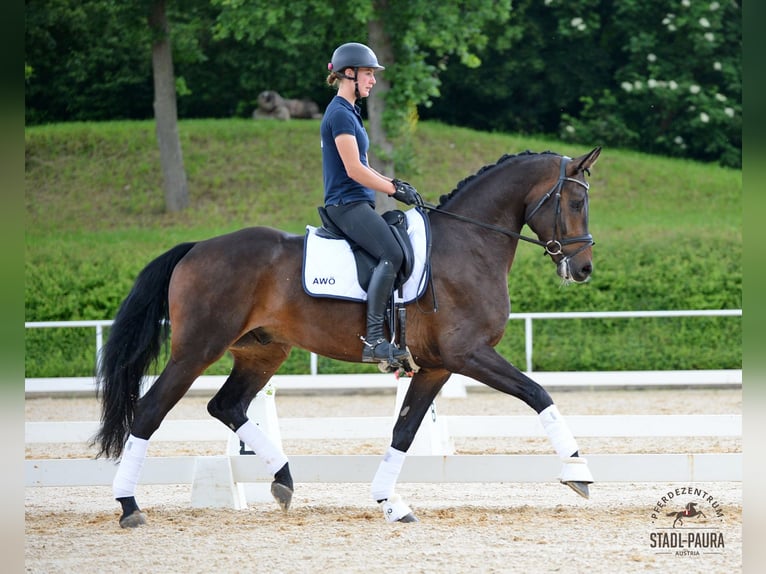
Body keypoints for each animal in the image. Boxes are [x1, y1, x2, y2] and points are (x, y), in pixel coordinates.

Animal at [93, 146, 604, 528]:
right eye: (576, 203)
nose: (583, 269)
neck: (469, 245)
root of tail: (195, 248)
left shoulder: (437, 366)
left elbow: (404, 431)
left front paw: (390, 502)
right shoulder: (469, 354)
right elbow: (537, 393)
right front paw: (578, 471)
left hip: (262, 352)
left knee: (226, 405)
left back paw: (283, 479)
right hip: (196, 350)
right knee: (150, 411)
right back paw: (129, 506)